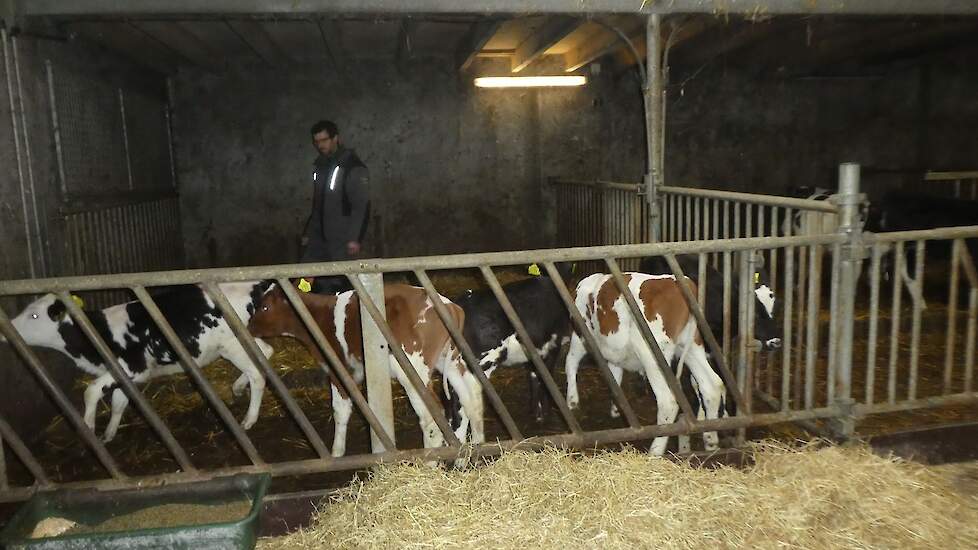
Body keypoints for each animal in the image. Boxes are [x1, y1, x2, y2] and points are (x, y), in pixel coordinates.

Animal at [2, 284, 274, 444]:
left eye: (34, 315)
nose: (6, 329)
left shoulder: (130, 366)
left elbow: (91, 390)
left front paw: (89, 426)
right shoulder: (129, 376)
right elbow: (118, 402)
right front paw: (109, 433)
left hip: (232, 345)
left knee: (257, 373)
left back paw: (249, 419)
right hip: (242, 342)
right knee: (266, 352)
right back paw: (238, 387)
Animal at [248, 284, 484, 458]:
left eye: (265, 307)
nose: (249, 327)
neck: (319, 317)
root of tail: (450, 306)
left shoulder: (338, 367)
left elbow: (340, 410)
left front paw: (336, 452)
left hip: (413, 368)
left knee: (431, 412)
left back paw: (431, 461)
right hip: (451, 362)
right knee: (472, 396)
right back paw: (476, 448)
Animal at [564, 274, 724, 460]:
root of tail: (679, 282)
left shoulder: (580, 335)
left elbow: (570, 362)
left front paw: (572, 402)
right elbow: (615, 373)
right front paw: (616, 408)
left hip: (652, 354)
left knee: (668, 401)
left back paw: (655, 451)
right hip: (692, 345)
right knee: (712, 385)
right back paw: (711, 441)